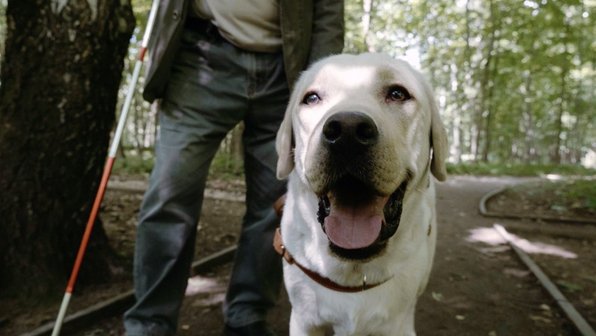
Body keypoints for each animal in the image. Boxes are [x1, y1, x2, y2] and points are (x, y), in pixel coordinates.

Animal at [274, 53, 448, 336]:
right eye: (312, 98)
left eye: (398, 93)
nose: (347, 131)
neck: (354, 270)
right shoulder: (304, 320)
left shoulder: (398, 325)